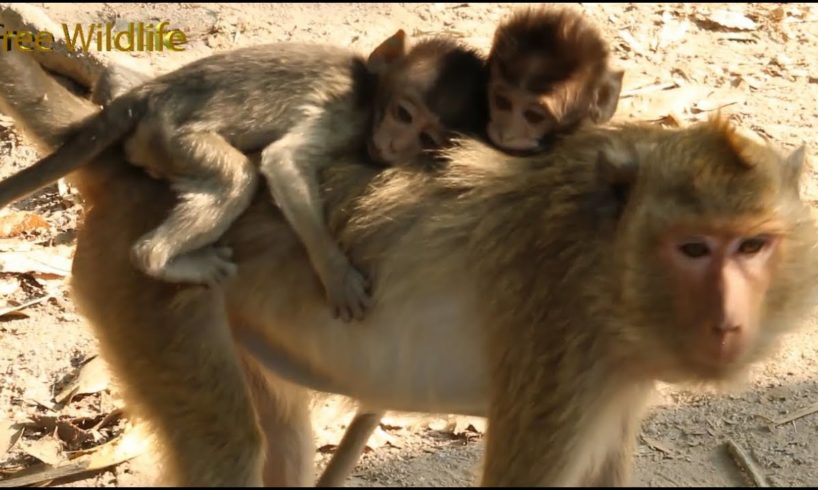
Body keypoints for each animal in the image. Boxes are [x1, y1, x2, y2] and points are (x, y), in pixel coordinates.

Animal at [0, 29, 484, 322]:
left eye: (427, 137)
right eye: (403, 114)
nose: (398, 146)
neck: (370, 89)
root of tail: (148, 97)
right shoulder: (345, 113)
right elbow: (283, 162)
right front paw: (338, 275)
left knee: (117, 76)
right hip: (171, 137)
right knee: (239, 178)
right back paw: (159, 258)